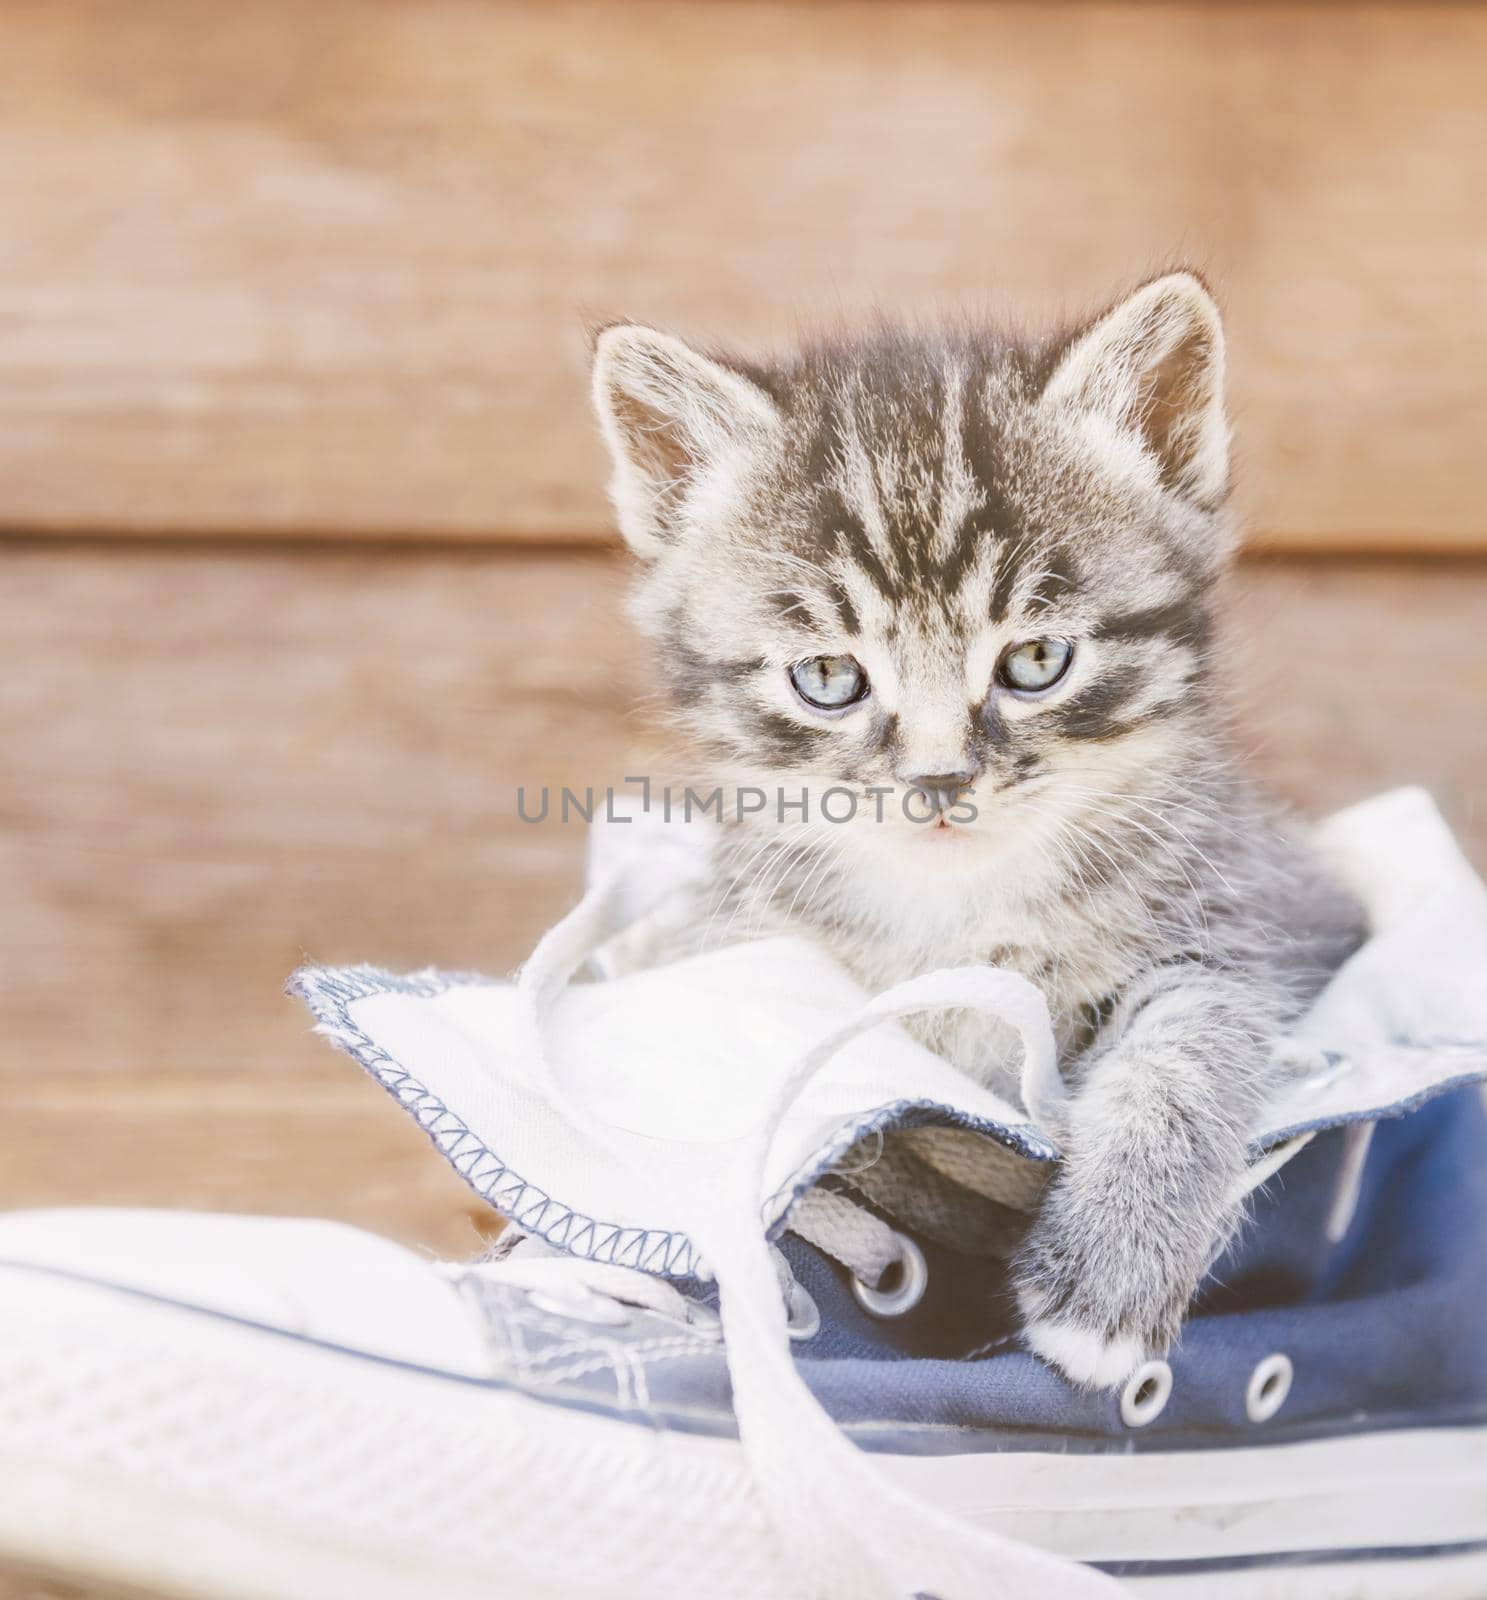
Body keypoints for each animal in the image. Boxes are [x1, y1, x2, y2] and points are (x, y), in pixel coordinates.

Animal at [585, 275, 1363, 1388]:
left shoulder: (1248, 915)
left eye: (1034, 660)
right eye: (828, 677)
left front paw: (1108, 1271)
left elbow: (1187, 1048)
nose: (938, 779)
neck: (961, 911)